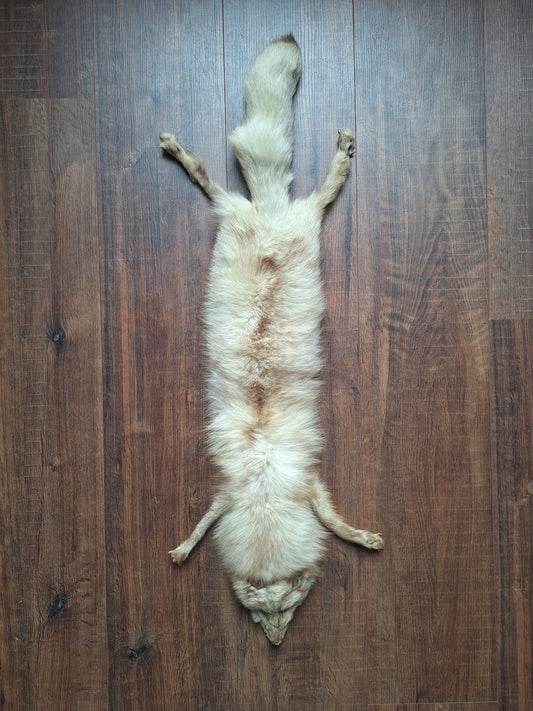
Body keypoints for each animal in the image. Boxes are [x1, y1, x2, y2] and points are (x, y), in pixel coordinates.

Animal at [160, 34, 383, 646]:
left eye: (288, 607)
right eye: (259, 614)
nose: (278, 645)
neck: (262, 491)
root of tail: (268, 212)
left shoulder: (307, 489)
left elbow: (335, 523)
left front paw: (361, 538)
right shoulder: (231, 494)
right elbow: (205, 522)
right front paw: (185, 548)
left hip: (303, 220)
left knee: (321, 192)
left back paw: (341, 155)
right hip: (244, 213)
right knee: (211, 177)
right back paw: (180, 151)